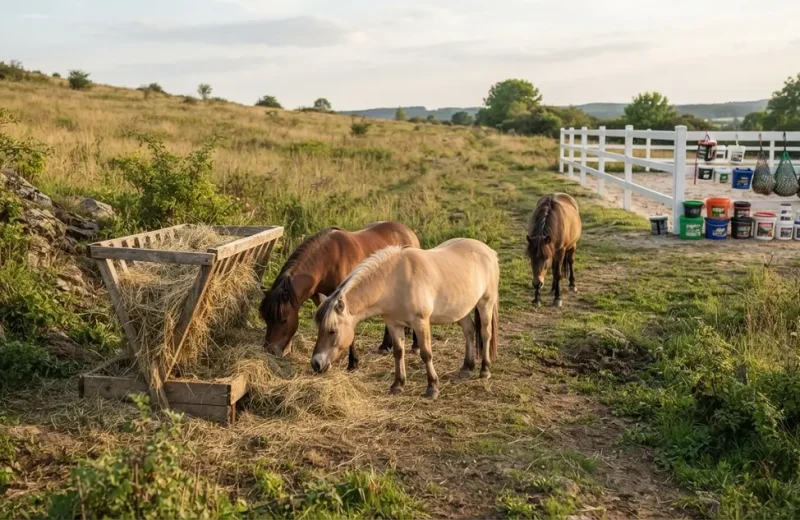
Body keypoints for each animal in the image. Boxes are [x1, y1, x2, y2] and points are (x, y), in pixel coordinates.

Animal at [259, 221, 420, 370]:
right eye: (266, 319)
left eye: (284, 319)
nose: (270, 350)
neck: (327, 261)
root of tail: (408, 231)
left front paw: (353, 363)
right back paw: (385, 346)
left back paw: (415, 345)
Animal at [311, 237, 500, 399]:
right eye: (319, 330)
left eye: (332, 330)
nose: (316, 364)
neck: (393, 281)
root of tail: (489, 251)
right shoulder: (393, 324)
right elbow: (398, 352)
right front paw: (398, 385)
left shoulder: (420, 322)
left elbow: (426, 353)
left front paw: (432, 387)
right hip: (461, 310)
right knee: (469, 330)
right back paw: (467, 367)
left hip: (485, 303)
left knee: (485, 334)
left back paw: (484, 369)